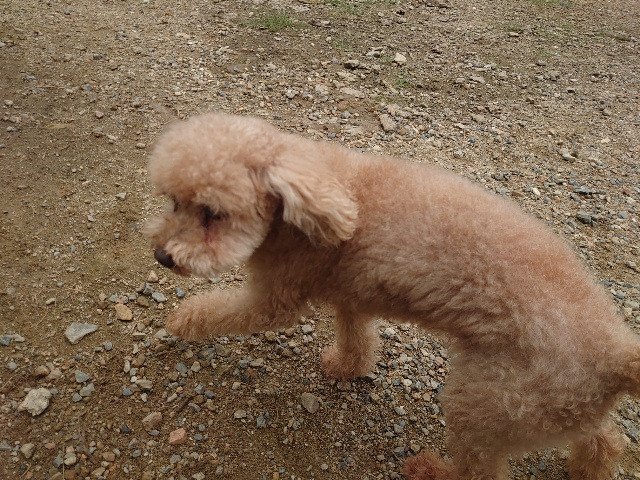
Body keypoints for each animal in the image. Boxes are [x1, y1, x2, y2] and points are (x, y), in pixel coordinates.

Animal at [143, 112, 640, 479]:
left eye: (213, 213)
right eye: (173, 202)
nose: (162, 256)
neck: (303, 200)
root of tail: (616, 356)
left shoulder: (275, 299)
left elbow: (219, 312)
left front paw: (180, 320)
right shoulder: (350, 291)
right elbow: (357, 338)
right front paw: (346, 367)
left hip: (486, 405)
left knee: (480, 470)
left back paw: (430, 470)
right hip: (554, 408)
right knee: (605, 438)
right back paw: (590, 468)